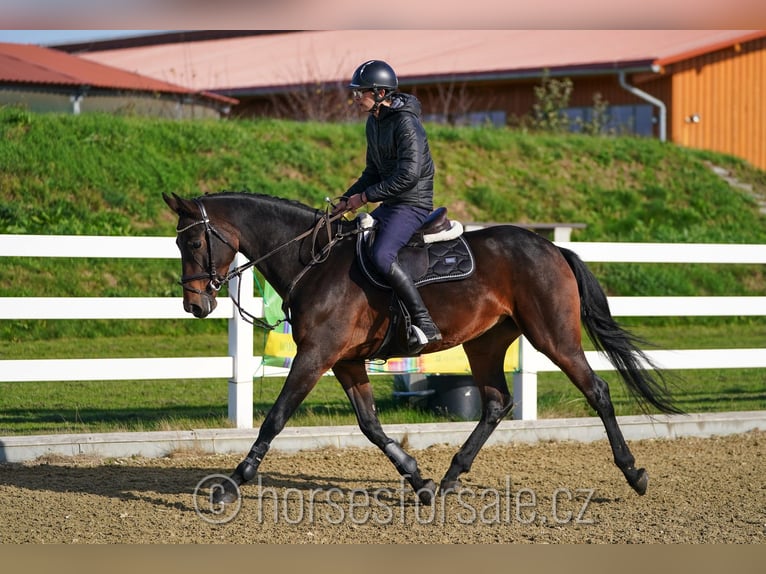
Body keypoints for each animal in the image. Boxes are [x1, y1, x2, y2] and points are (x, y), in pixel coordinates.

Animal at [162, 191, 680, 506]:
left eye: (194, 241)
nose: (195, 304)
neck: (315, 261)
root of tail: (551, 248)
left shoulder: (317, 355)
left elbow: (276, 416)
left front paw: (232, 483)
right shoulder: (345, 361)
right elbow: (370, 425)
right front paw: (418, 478)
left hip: (553, 336)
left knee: (597, 391)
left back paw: (633, 472)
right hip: (486, 343)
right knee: (497, 402)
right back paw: (450, 477)